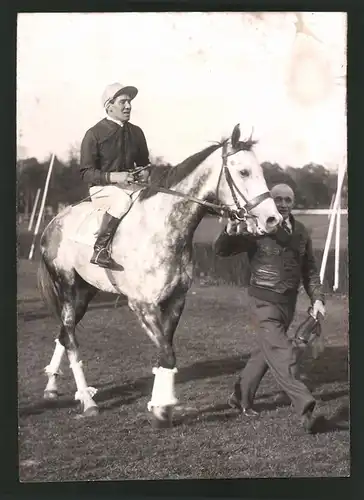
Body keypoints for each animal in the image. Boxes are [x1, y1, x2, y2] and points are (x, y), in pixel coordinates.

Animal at [37, 123, 282, 428]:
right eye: (244, 172)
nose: (273, 219)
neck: (163, 229)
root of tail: (52, 223)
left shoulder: (175, 301)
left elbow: (165, 352)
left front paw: (158, 405)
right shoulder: (142, 305)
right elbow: (167, 352)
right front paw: (163, 408)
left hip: (85, 293)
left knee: (63, 333)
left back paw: (52, 387)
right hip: (68, 289)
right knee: (70, 338)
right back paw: (87, 400)